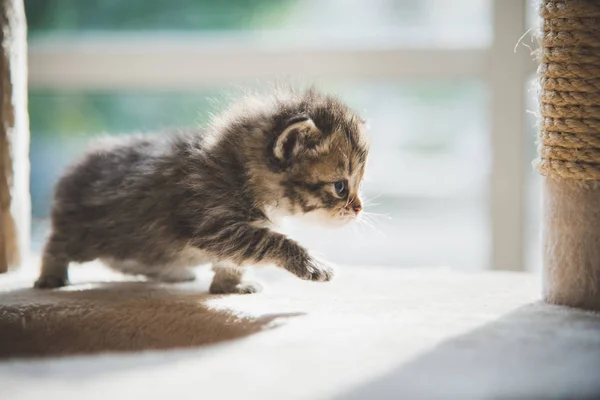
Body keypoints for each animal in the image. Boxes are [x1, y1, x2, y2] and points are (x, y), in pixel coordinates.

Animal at [35, 87, 370, 294]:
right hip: (82, 232)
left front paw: (229, 286)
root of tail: (80, 162)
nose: (358, 208)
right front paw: (312, 263)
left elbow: (236, 261)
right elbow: (270, 240)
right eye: (341, 187)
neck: (240, 175)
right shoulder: (214, 226)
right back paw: (50, 277)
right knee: (55, 245)